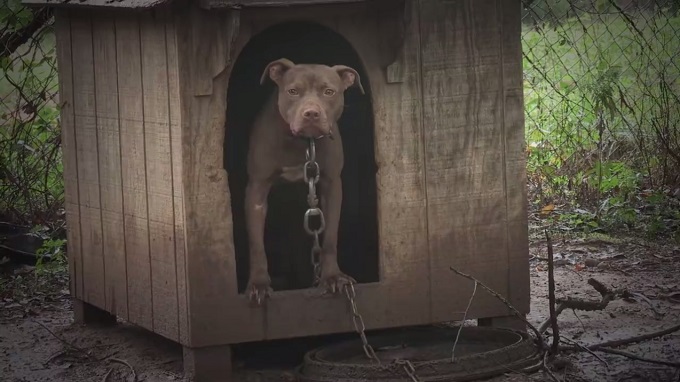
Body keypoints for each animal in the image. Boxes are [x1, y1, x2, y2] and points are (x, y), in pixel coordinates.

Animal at [242, 58, 364, 306]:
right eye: (293, 91)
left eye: (329, 92)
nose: (311, 113)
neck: (302, 143)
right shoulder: (257, 190)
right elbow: (256, 244)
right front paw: (259, 284)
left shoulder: (332, 186)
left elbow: (330, 238)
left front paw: (332, 277)